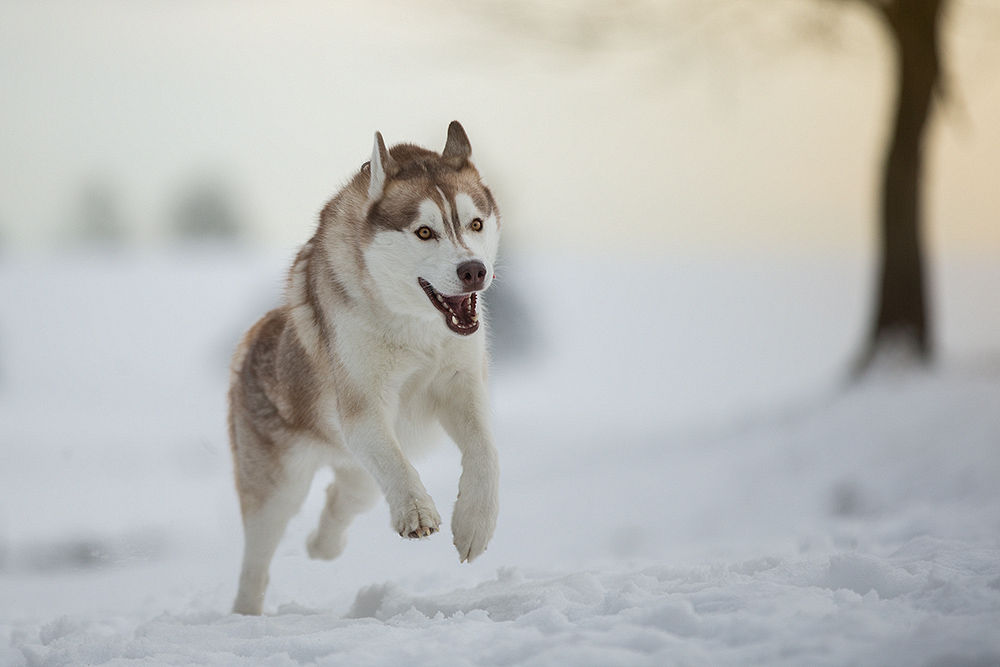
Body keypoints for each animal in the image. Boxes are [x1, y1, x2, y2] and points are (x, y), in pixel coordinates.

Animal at [231, 121, 504, 616]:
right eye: (424, 232)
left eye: (475, 224)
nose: (474, 270)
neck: (416, 328)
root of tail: (254, 337)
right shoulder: (363, 407)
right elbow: (397, 465)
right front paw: (417, 512)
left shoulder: (462, 386)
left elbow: (486, 453)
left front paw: (475, 524)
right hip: (278, 489)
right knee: (256, 560)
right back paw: (246, 613)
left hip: (356, 472)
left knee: (344, 497)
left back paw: (324, 545)